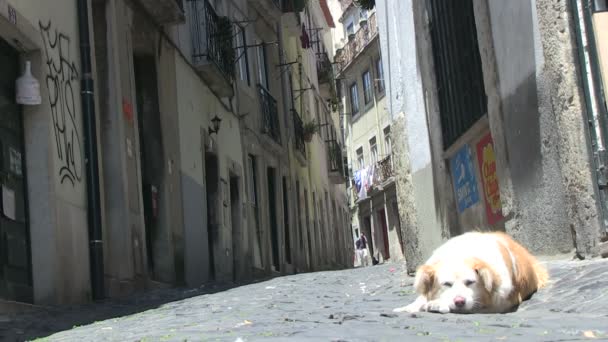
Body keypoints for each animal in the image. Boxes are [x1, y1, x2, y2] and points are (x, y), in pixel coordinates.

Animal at [396, 231, 548, 314]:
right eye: (447, 284)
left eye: (470, 282)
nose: (459, 302)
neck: (461, 254)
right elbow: (421, 299)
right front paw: (407, 308)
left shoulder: (499, 304)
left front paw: (437, 304)